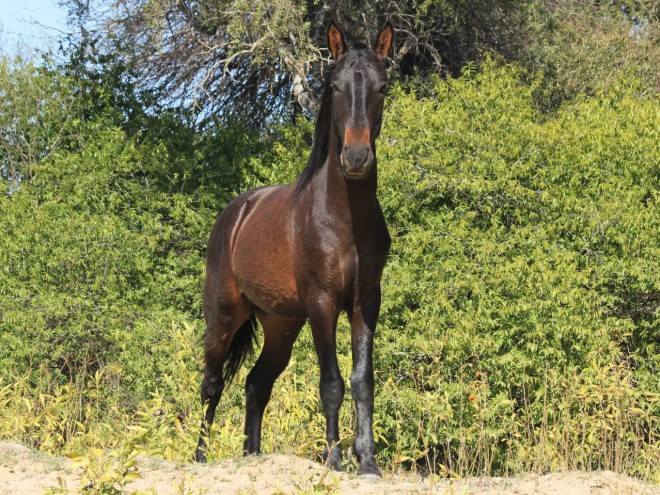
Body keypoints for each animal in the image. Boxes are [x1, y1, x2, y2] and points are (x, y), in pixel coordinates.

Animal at [193, 20, 394, 480]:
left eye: (382, 87)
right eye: (335, 86)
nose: (356, 157)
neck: (343, 219)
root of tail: (235, 213)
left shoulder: (365, 302)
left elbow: (362, 381)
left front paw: (368, 463)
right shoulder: (322, 303)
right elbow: (331, 382)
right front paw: (334, 460)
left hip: (281, 325)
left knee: (256, 382)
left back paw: (252, 456)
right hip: (224, 314)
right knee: (212, 382)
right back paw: (199, 458)